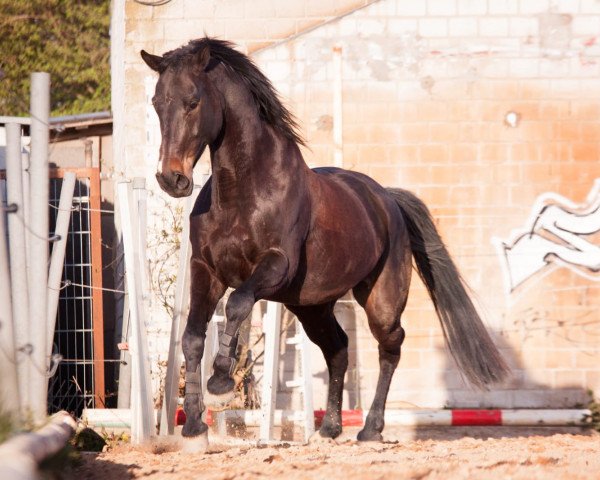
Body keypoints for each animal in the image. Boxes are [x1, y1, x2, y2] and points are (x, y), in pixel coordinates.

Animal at [142, 39, 510, 444]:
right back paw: (330, 427)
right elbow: (192, 337)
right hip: (312, 307)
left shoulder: (276, 266)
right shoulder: (206, 271)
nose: (171, 179)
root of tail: (387, 199)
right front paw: (194, 424)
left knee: (390, 347)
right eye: (157, 102)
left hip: (380, 301)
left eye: (193, 101)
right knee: (338, 349)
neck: (244, 192)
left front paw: (220, 382)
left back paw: (370, 428)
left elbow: (237, 304)